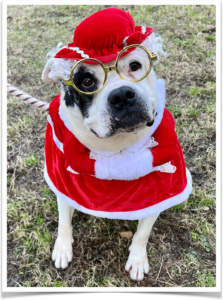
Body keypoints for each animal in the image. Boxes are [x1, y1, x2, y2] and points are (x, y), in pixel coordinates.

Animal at [42, 8, 193, 282]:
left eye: (134, 65)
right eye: (86, 81)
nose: (122, 95)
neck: (116, 149)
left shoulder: (157, 196)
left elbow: (143, 233)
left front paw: (137, 260)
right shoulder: (63, 183)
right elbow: (63, 220)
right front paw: (63, 247)